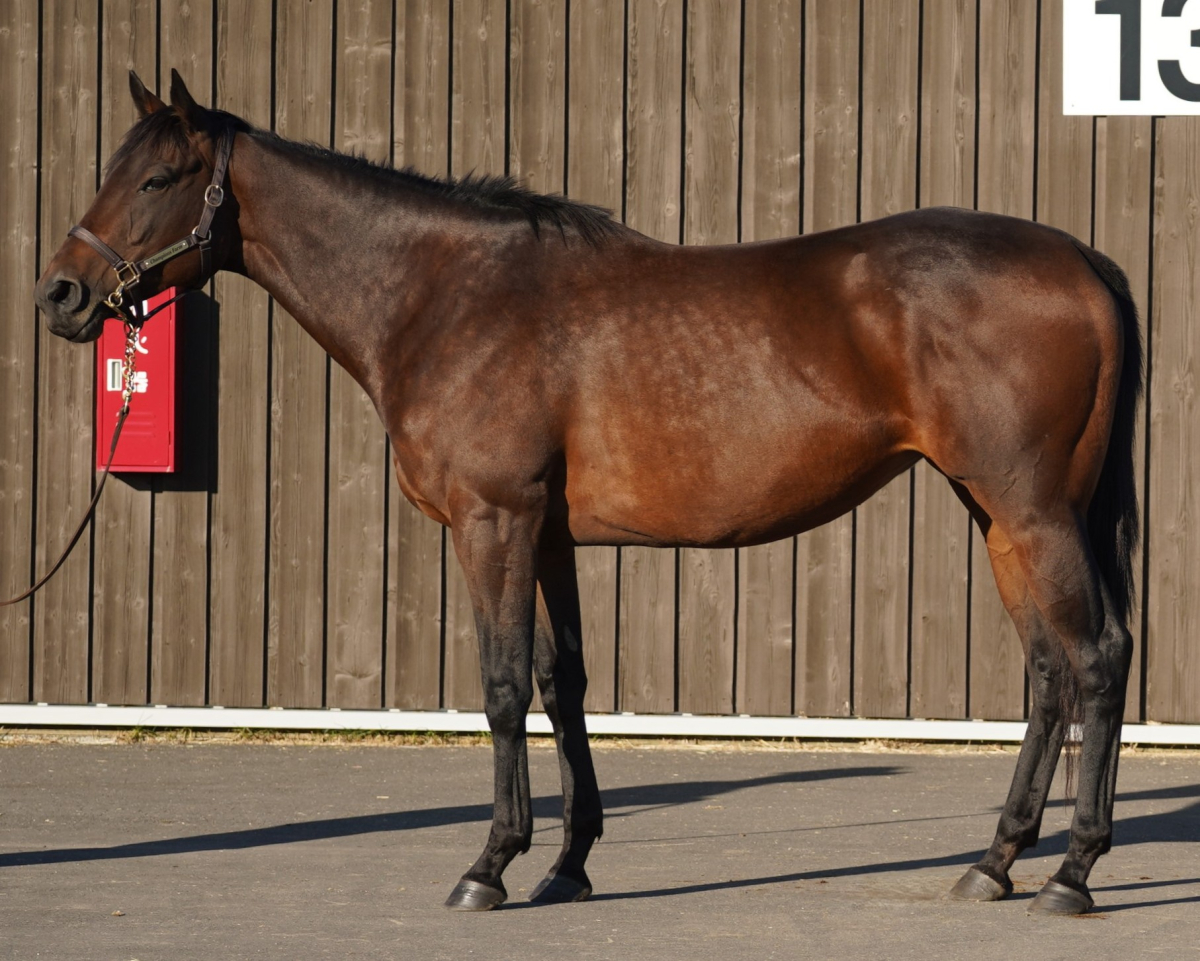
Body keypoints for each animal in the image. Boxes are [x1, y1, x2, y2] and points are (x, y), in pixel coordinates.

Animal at [35, 70, 1142, 917]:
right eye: (113, 169)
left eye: (159, 175)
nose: (61, 295)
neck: (444, 296)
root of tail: (1081, 257)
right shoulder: (552, 535)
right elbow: (562, 684)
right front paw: (567, 864)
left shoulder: (493, 522)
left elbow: (500, 687)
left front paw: (488, 865)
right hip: (996, 513)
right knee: (1048, 672)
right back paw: (995, 861)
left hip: (1031, 508)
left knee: (1094, 657)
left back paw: (1073, 873)